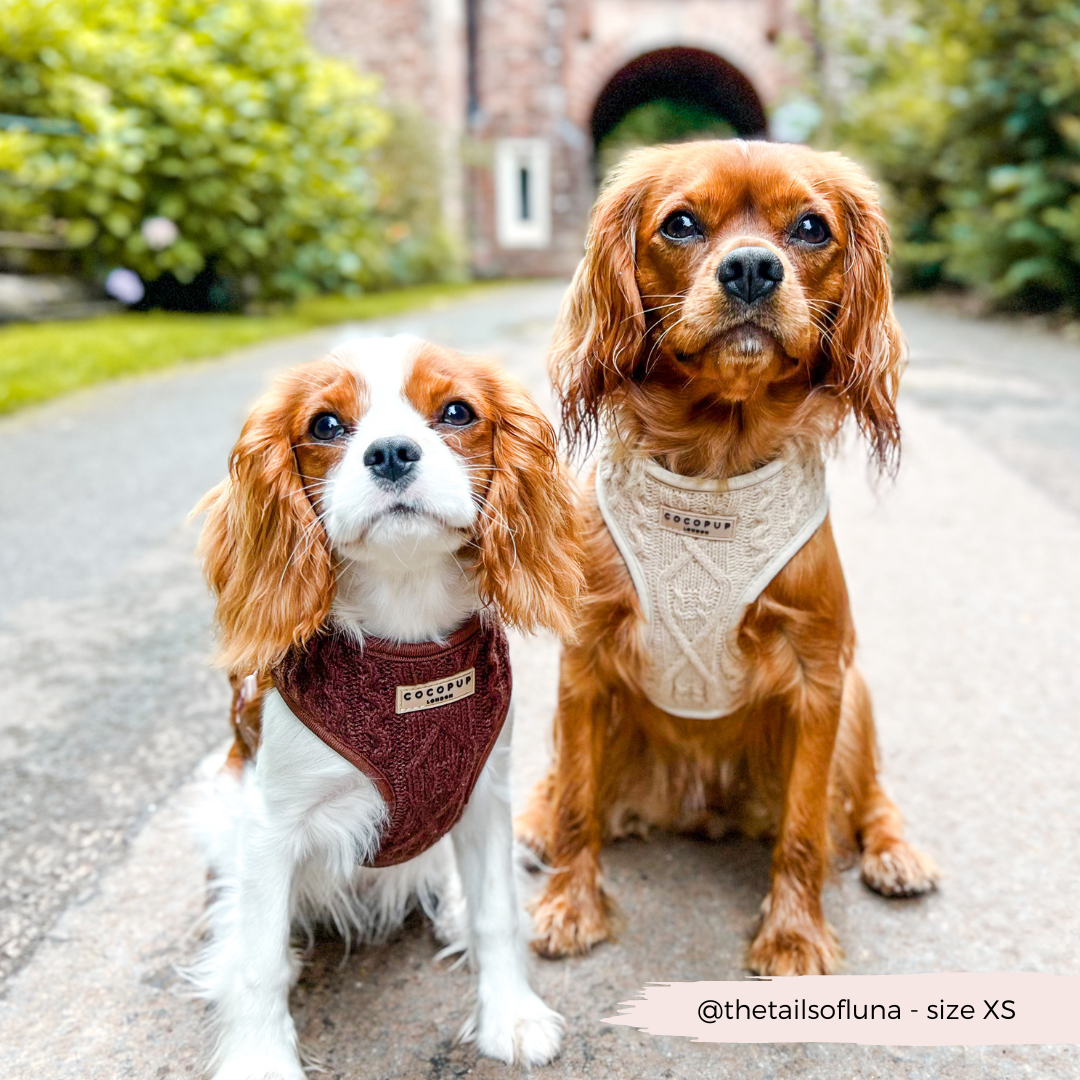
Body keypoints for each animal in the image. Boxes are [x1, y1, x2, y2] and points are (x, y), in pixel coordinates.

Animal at [194, 332, 583, 1075]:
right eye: (325, 425)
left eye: (457, 412)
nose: (393, 452)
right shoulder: (268, 826)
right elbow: (258, 961)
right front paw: (260, 1058)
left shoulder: (480, 789)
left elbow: (496, 913)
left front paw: (511, 1015)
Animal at [514, 139, 937, 976]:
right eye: (680, 223)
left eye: (810, 228)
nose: (750, 269)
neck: (714, 464)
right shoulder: (584, 667)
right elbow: (578, 803)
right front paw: (571, 905)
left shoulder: (818, 679)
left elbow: (804, 832)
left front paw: (794, 937)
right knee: (562, 785)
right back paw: (537, 820)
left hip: (858, 693)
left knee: (871, 799)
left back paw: (895, 853)